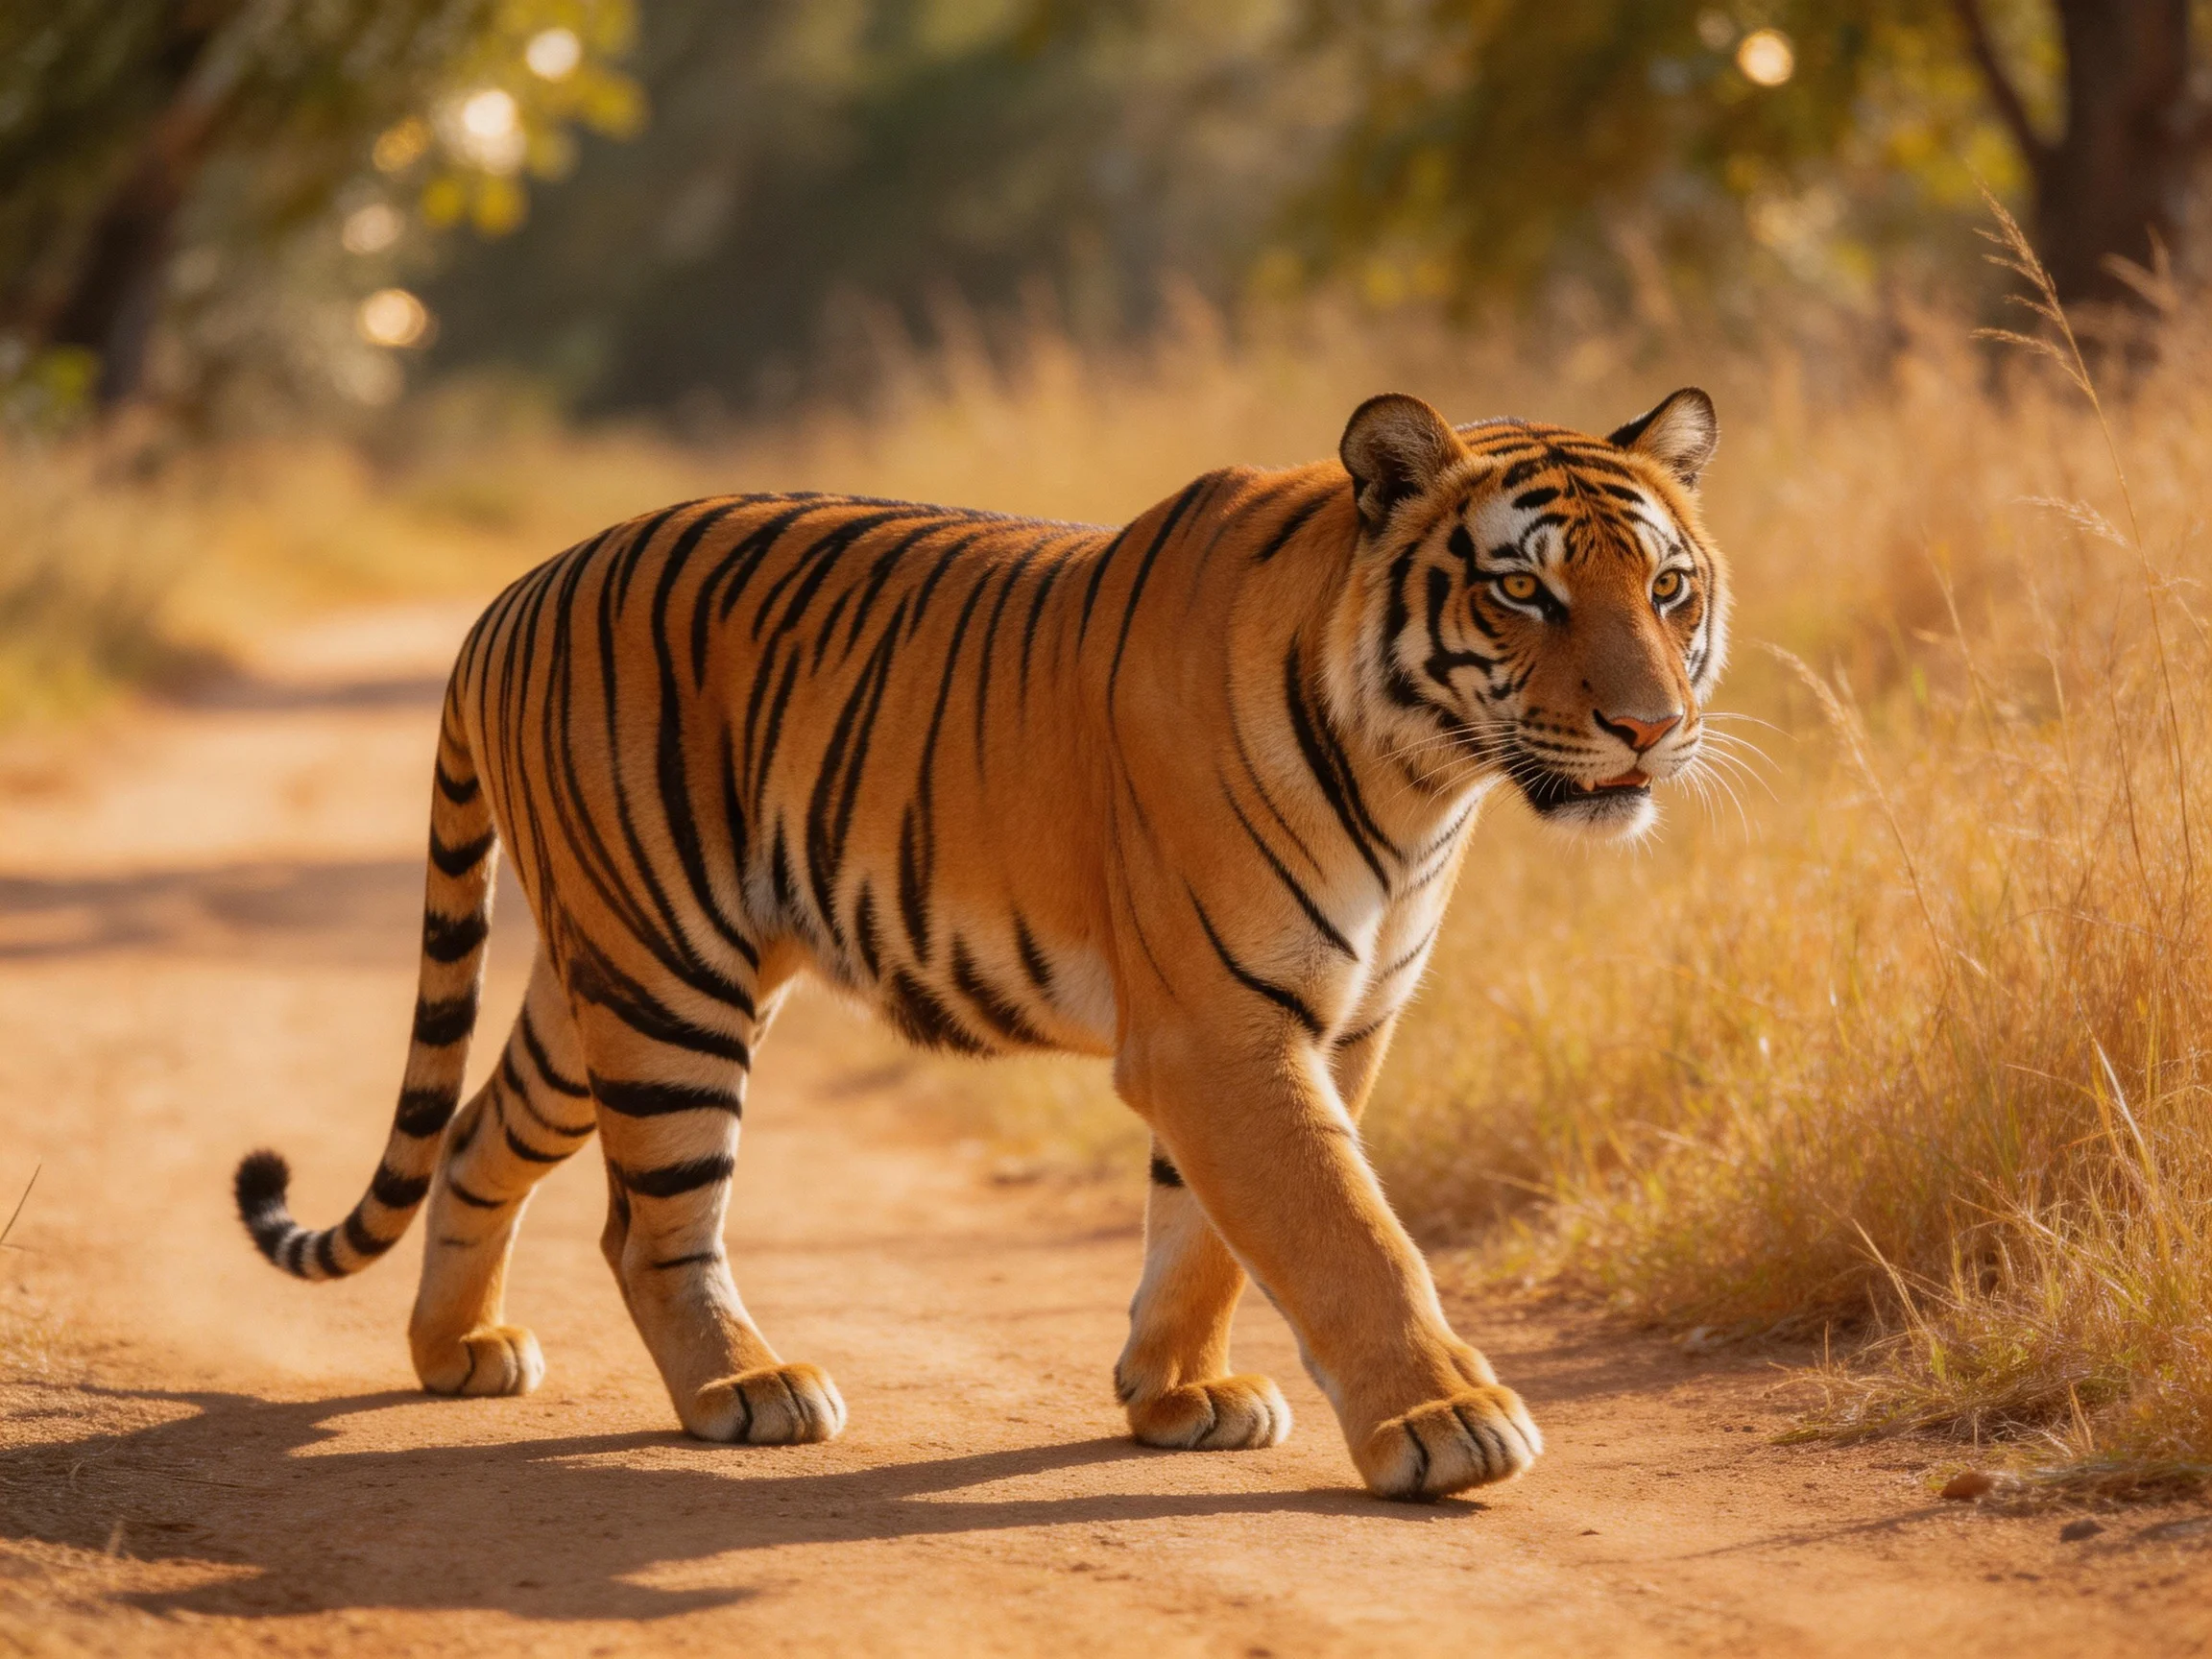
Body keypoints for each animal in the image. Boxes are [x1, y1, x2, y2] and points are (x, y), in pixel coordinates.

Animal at [233, 386, 1725, 1501]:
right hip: (667, 980)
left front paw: (1176, 1393)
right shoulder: (1219, 1028)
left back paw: (460, 1350)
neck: (1425, 782)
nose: (1652, 729)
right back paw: (744, 1387)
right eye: (1524, 594)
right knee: (649, 1223)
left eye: (1668, 588)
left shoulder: (1329, 1022)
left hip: (606, 971)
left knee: (478, 1132)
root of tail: (511, 593)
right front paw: (1446, 1422)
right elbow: (1343, 1226)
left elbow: (1212, 1232)